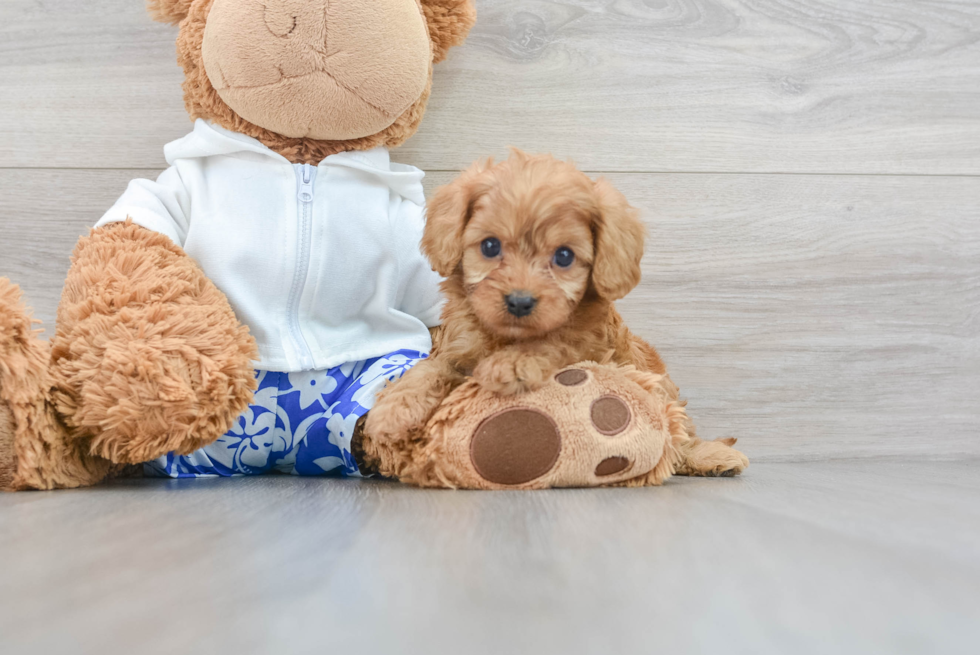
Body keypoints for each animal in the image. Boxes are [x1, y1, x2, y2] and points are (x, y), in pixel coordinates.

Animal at [370, 149, 752, 476]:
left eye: (564, 256)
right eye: (490, 246)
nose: (519, 301)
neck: (507, 336)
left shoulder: (591, 346)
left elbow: (556, 341)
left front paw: (512, 363)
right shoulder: (458, 349)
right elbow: (431, 367)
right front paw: (393, 407)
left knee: (679, 436)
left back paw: (711, 456)